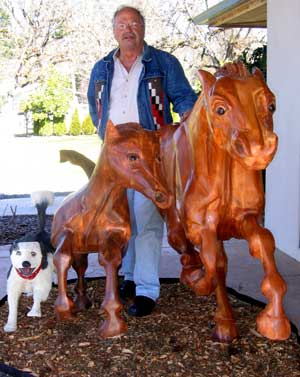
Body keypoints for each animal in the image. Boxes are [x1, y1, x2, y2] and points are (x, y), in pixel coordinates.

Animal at [4, 191, 54, 332]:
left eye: (33, 253)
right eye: (18, 253)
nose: (25, 263)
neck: (28, 277)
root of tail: (40, 231)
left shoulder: (42, 285)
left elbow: (38, 297)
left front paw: (35, 311)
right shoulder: (12, 288)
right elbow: (12, 307)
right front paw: (11, 324)